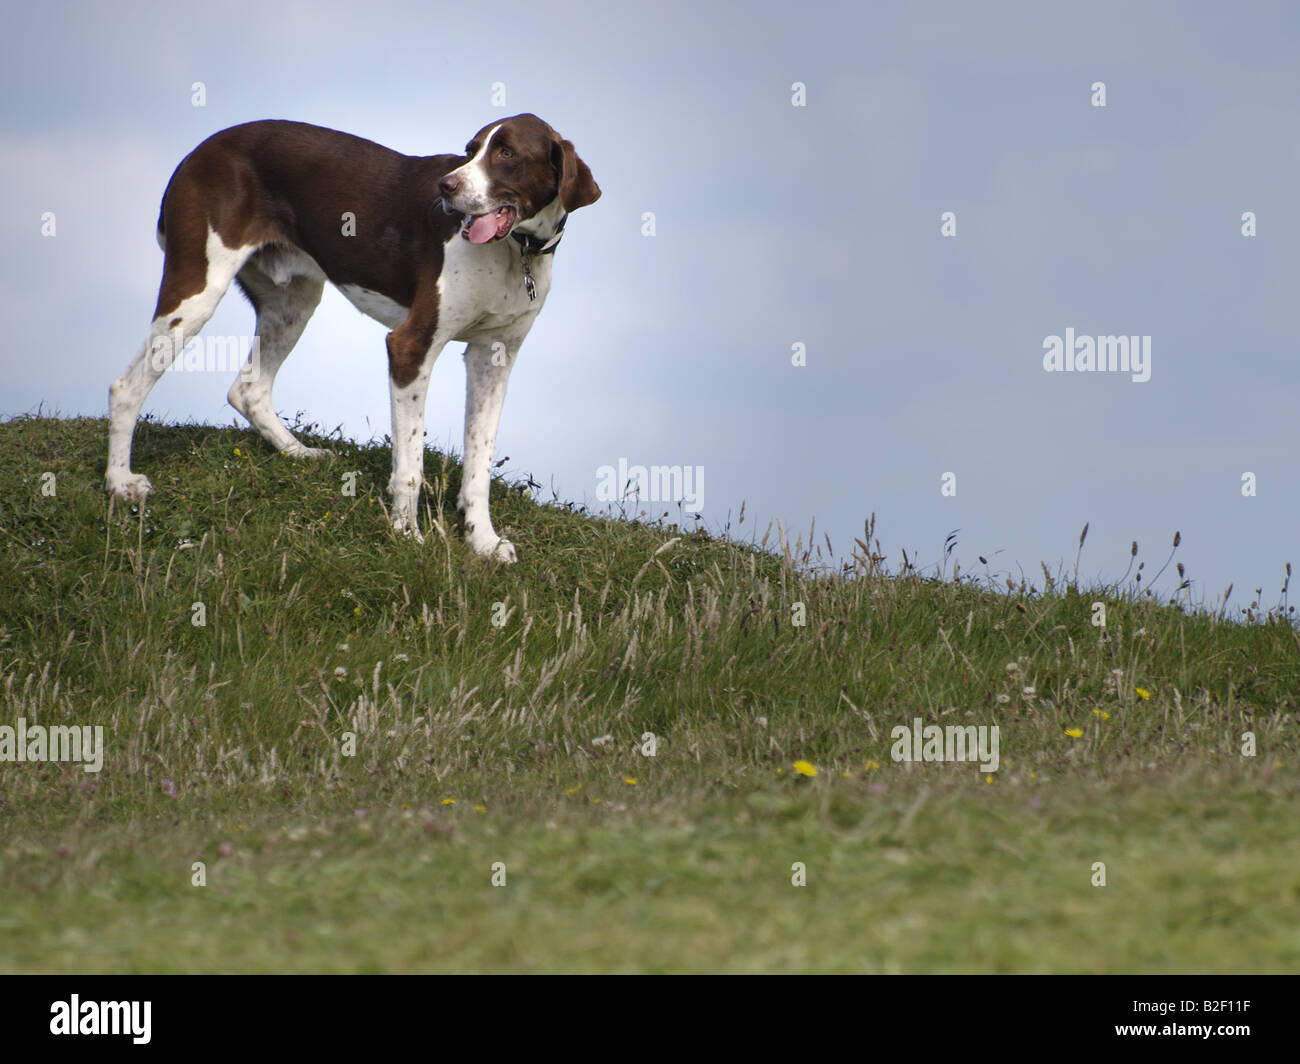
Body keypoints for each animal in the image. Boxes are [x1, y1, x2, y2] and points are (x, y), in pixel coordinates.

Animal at [104, 113, 600, 564]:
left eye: (507, 153)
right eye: (470, 149)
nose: (446, 188)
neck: (517, 251)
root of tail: (197, 153)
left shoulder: (493, 358)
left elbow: (479, 463)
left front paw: (483, 542)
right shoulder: (410, 347)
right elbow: (411, 466)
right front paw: (407, 535)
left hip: (294, 301)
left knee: (249, 388)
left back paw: (299, 453)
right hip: (196, 291)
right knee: (126, 387)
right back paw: (120, 482)